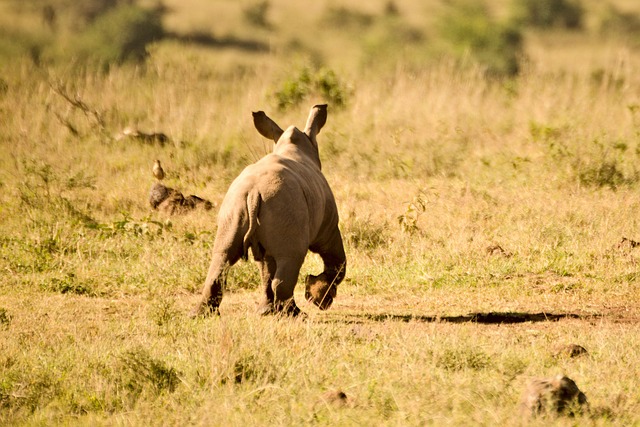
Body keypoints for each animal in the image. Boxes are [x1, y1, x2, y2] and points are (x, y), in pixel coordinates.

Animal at [192, 104, 346, 317]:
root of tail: (253, 192)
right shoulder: (328, 229)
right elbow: (338, 261)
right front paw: (318, 298)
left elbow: (266, 269)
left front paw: (267, 310)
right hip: (285, 206)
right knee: (292, 258)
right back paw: (296, 315)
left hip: (236, 205)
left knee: (222, 255)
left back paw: (201, 314)